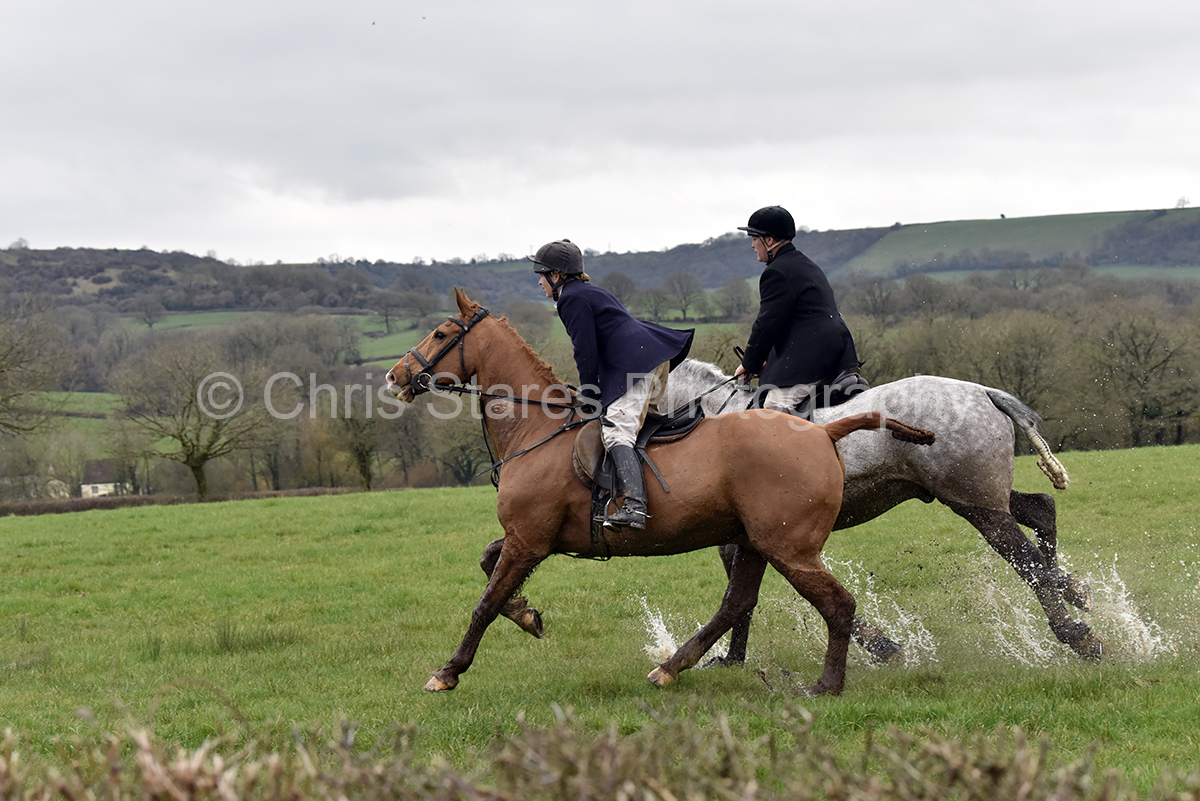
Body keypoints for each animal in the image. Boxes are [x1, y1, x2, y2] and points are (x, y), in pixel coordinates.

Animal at [386, 288, 935, 696]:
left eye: (441, 333)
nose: (394, 377)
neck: (534, 426)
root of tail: (823, 432)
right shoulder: (532, 536)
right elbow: (488, 563)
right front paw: (527, 615)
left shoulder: (528, 539)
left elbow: (483, 602)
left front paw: (448, 672)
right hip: (757, 541)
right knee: (737, 603)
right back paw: (672, 667)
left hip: (789, 547)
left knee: (836, 605)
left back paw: (826, 685)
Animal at [663, 358, 1101, 662]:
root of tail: (983, 391)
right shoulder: (755, 539)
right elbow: (745, 595)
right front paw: (732, 659)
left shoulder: (758, 539)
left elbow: (748, 595)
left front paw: (883, 648)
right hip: (977, 497)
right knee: (1041, 512)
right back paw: (1073, 589)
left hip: (975, 505)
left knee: (1025, 559)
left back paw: (1076, 633)